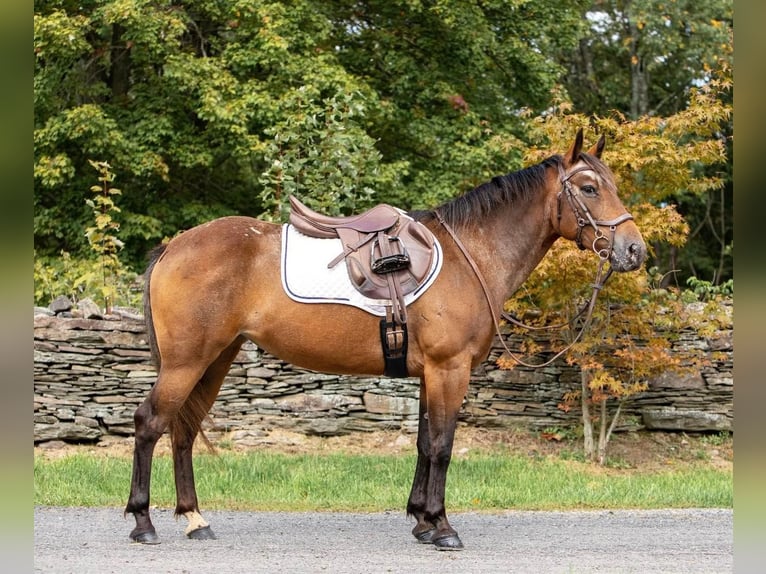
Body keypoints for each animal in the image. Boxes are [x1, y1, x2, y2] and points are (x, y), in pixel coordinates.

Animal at [126, 129, 648, 548]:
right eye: (589, 188)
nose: (635, 250)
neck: (470, 256)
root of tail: (174, 245)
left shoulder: (430, 375)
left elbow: (424, 443)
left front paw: (421, 521)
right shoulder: (449, 369)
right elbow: (442, 446)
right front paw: (442, 527)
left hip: (215, 359)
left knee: (183, 431)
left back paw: (195, 519)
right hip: (187, 362)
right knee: (150, 422)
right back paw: (143, 522)